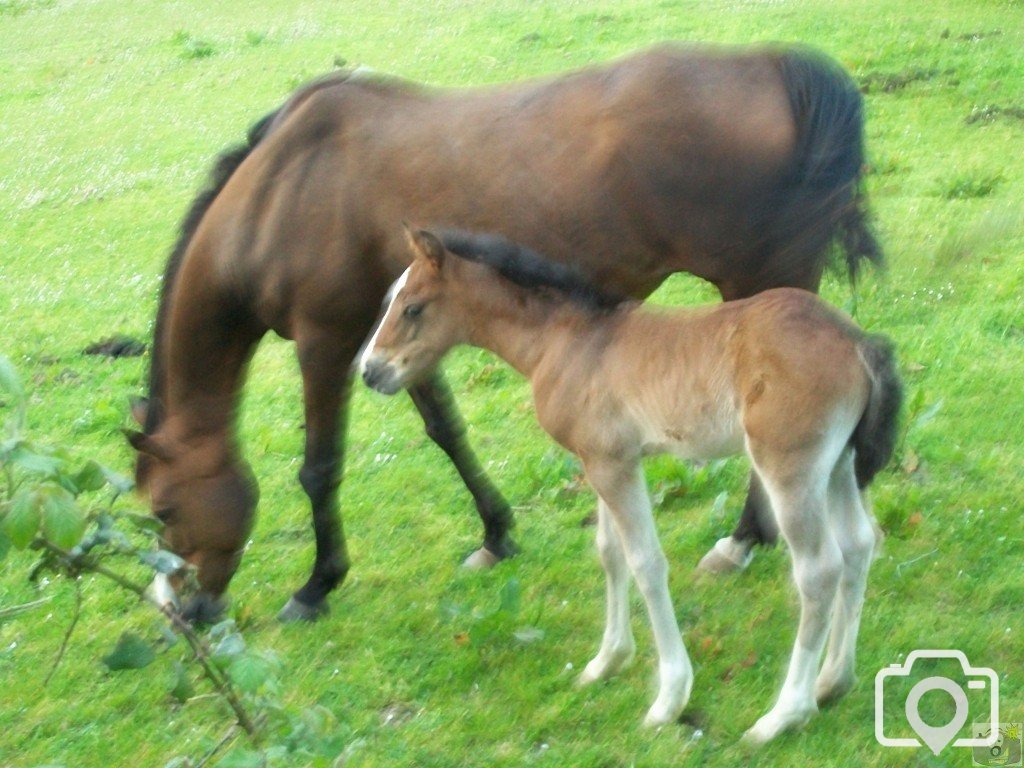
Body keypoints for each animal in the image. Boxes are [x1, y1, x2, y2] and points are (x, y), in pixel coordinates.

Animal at [125, 41, 880, 622]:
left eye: (164, 509)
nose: (181, 612)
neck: (282, 191)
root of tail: (777, 69)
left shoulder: (327, 340)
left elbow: (320, 469)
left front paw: (317, 584)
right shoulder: (400, 337)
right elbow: (446, 432)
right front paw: (496, 533)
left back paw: (743, 540)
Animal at [362, 228, 905, 745]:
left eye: (412, 307)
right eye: (388, 300)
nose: (371, 371)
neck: (567, 343)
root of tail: (858, 341)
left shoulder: (610, 466)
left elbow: (646, 563)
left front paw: (669, 699)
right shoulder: (607, 460)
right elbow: (610, 553)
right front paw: (607, 662)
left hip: (789, 469)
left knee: (818, 571)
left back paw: (782, 716)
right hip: (837, 465)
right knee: (859, 544)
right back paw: (833, 682)